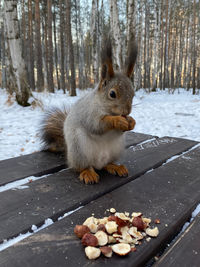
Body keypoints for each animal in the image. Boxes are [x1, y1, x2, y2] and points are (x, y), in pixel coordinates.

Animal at [40, 38, 138, 185]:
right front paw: (117, 120)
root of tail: (97, 163)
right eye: (112, 94)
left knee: (106, 164)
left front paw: (131, 121)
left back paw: (115, 167)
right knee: (82, 167)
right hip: (79, 149)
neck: (104, 107)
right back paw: (88, 173)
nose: (127, 111)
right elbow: (97, 125)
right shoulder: (88, 114)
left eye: (133, 93)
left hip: (116, 149)